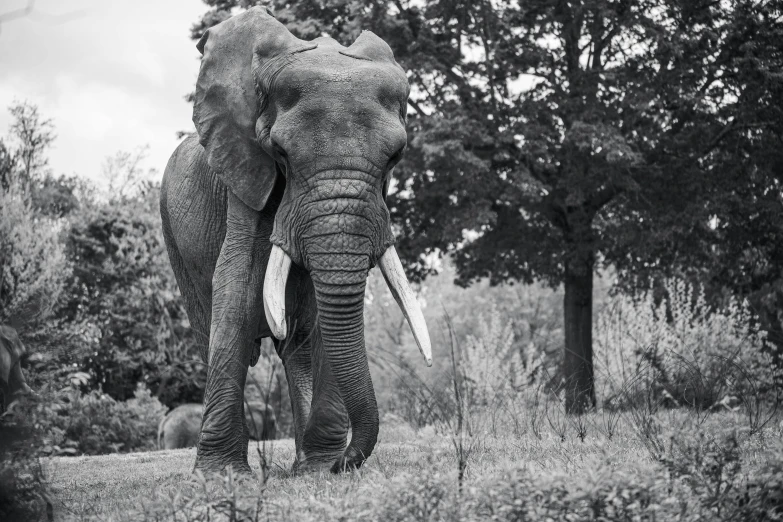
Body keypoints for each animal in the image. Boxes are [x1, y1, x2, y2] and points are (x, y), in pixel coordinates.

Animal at [157, 7, 432, 472]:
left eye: (395, 157)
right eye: (280, 154)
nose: (347, 463)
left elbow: (319, 311)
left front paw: (321, 468)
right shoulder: (244, 171)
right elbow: (236, 281)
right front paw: (221, 475)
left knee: (297, 345)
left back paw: (309, 461)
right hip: (172, 237)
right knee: (208, 327)